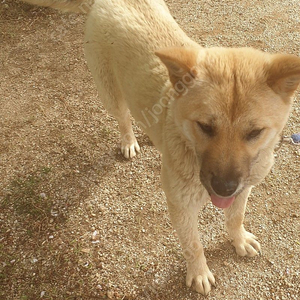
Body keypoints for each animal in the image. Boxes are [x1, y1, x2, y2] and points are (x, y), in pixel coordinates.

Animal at [21, 0, 300, 296]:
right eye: (205, 126)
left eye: (254, 132)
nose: (224, 188)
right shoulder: (181, 206)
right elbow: (193, 245)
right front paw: (199, 272)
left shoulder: (243, 188)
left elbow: (235, 218)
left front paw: (239, 240)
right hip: (110, 93)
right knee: (122, 117)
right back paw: (129, 141)